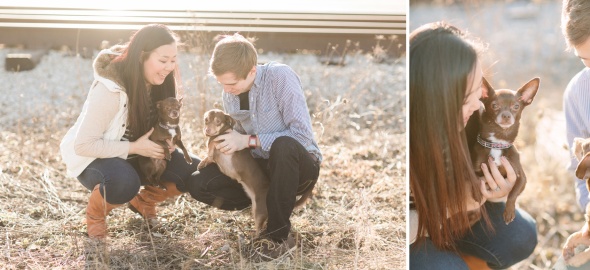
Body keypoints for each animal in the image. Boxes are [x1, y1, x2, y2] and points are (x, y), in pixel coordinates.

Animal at [472, 76, 540, 224]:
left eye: (516, 106)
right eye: (494, 105)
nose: (506, 115)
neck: (498, 142)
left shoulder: (521, 177)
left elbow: (513, 193)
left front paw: (509, 212)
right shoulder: (476, 169)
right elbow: (476, 179)